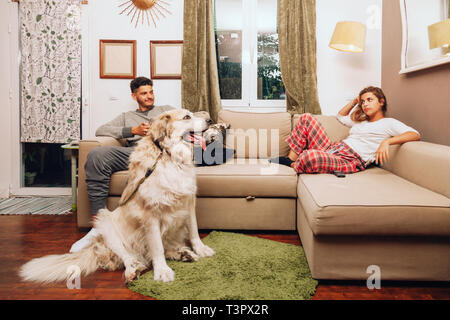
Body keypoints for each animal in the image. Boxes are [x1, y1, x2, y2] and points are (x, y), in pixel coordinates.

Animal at [20, 109, 216, 282]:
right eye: (186, 117)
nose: (210, 120)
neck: (168, 156)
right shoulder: (150, 214)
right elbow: (157, 247)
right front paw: (162, 271)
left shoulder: (188, 201)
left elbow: (194, 231)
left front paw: (201, 249)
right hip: (106, 223)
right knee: (128, 256)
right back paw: (133, 270)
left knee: (154, 251)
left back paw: (183, 253)